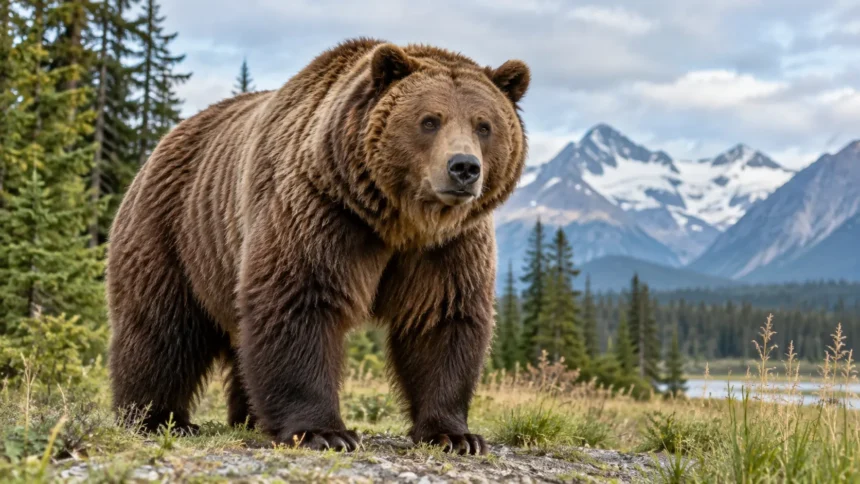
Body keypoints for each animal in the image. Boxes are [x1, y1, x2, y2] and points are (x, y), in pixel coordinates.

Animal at [107, 38, 529, 455]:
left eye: (484, 125)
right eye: (429, 120)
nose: (464, 167)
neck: (399, 221)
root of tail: (166, 140)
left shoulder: (448, 245)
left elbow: (441, 316)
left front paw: (455, 436)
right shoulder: (324, 211)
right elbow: (300, 299)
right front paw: (324, 432)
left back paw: (249, 417)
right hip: (176, 231)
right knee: (162, 328)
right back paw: (156, 417)